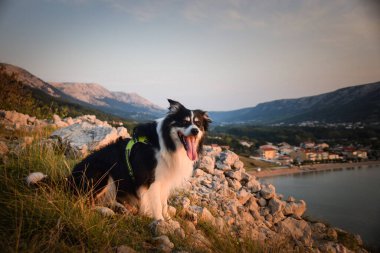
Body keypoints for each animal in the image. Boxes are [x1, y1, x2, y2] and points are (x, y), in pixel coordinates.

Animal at [61, 100, 211, 220]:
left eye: (198, 124)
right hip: (102, 174)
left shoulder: (165, 178)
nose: (195, 131)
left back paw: (121, 207)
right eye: (184, 122)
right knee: (85, 201)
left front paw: (167, 218)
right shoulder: (152, 179)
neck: (166, 143)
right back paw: (105, 210)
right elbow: (157, 204)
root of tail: (68, 179)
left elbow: (164, 202)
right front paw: (161, 222)